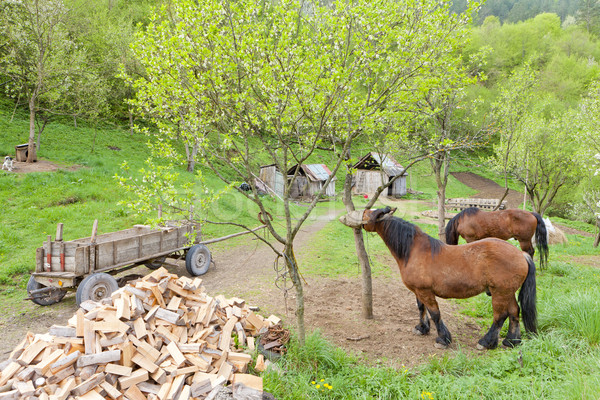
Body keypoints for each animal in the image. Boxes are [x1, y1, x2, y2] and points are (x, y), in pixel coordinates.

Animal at [338, 208, 540, 348]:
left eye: (366, 212)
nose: (343, 217)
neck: (412, 250)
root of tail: (521, 255)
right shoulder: (417, 291)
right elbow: (421, 309)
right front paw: (422, 328)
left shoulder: (425, 291)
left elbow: (435, 313)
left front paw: (443, 339)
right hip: (508, 292)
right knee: (514, 312)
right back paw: (512, 341)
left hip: (500, 293)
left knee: (500, 316)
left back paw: (486, 342)